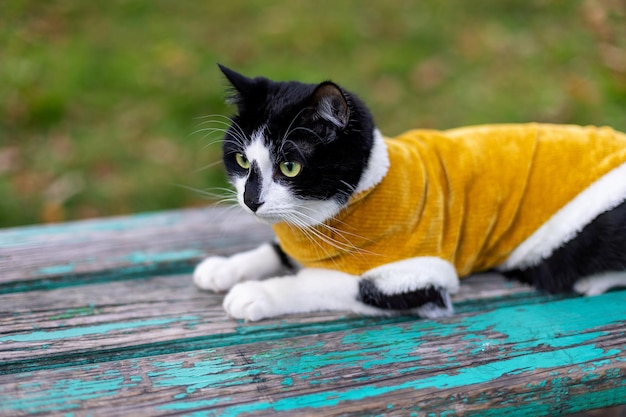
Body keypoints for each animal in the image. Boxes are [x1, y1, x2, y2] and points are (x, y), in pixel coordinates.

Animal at [193, 64, 624, 322]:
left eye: (289, 166)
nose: (250, 200)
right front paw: (224, 268)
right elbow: (278, 249)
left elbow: (326, 282)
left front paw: (256, 293)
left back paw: (591, 281)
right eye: (242, 160)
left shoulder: (418, 274)